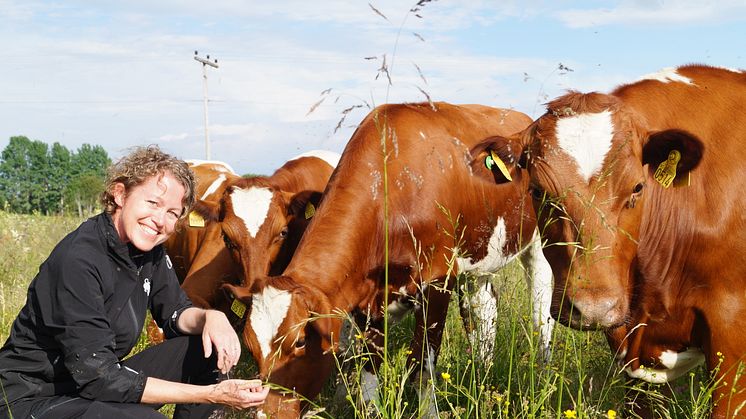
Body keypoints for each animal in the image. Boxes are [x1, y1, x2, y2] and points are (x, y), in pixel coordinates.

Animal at [224, 102, 556, 419]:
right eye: (250, 345)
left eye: (299, 342)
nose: (265, 414)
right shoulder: (367, 298)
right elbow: (370, 365)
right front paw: (371, 409)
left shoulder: (438, 282)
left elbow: (422, 366)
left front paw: (429, 413)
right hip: (479, 259)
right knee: (484, 310)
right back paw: (482, 373)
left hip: (540, 244)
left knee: (541, 312)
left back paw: (542, 375)